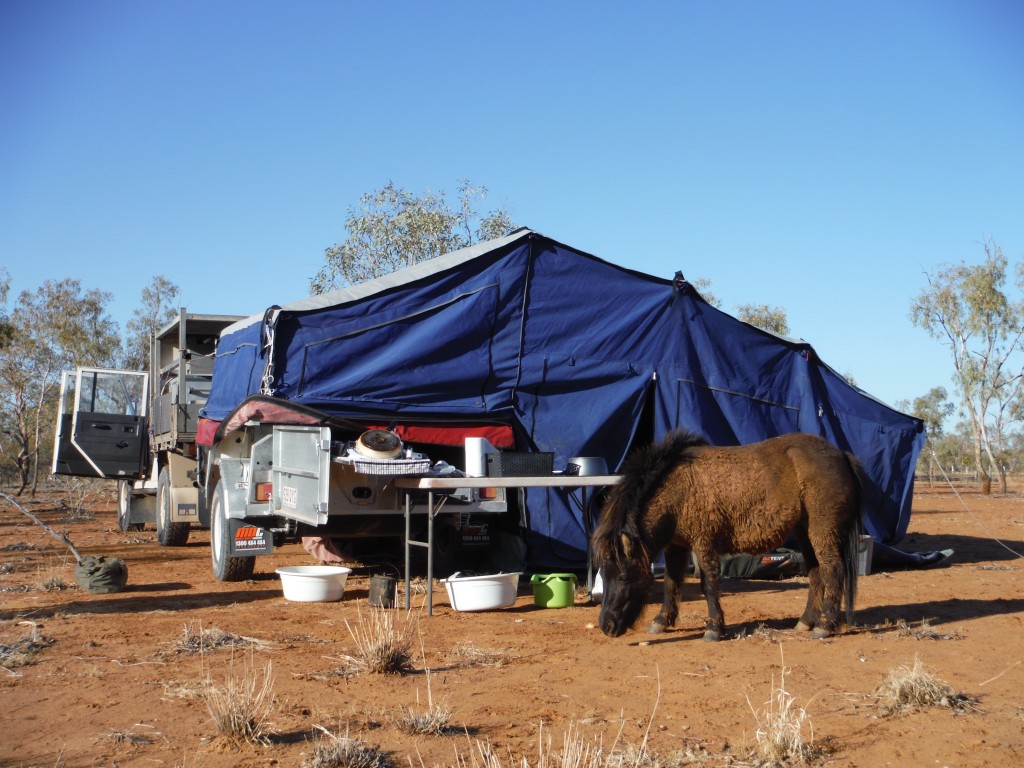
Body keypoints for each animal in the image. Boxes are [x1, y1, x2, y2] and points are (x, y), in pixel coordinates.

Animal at [593, 434, 864, 643]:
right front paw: (661, 621)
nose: (606, 626)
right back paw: (806, 621)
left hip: (822, 530)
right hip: (804, 531)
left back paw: (825, 625)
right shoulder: (676, 547)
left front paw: (713, 628)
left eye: (623, 577)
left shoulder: (704, 543)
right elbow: (671, 583)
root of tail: (841, 454)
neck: (678, 487)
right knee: (816, 573)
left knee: (833, 570)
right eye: (603, 575)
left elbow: (709, 585)